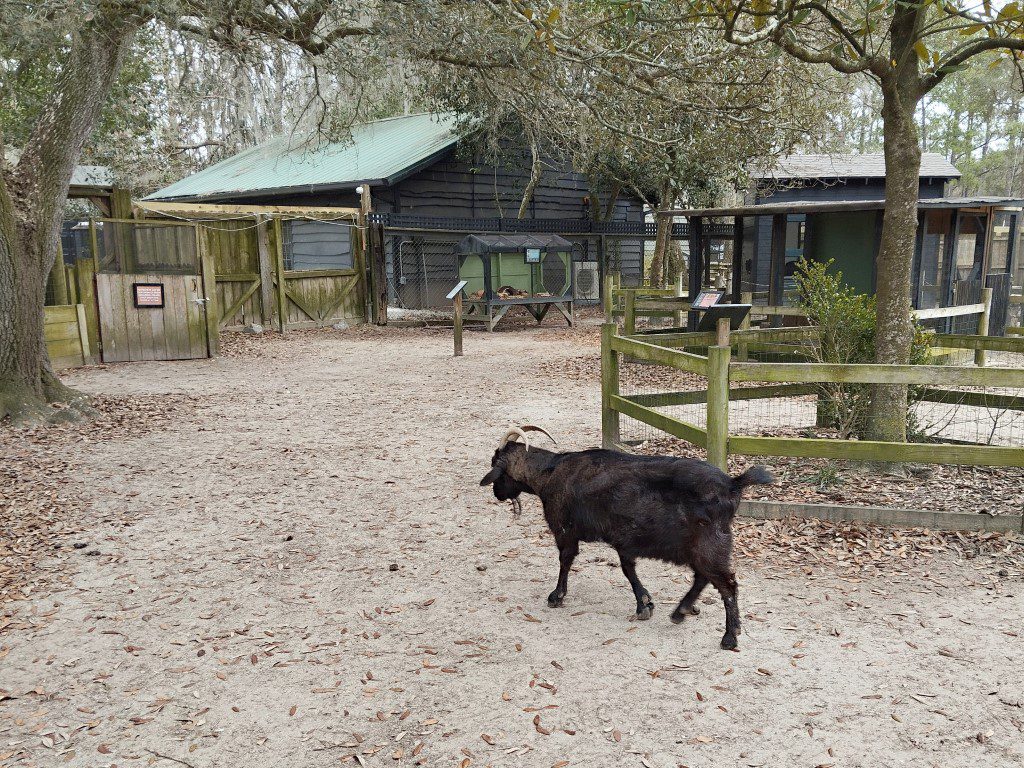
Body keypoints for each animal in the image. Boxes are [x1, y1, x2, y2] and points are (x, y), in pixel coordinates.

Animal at [483, 428, 770, 651]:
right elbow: (628, 569)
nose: (497, 493)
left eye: (496, 465)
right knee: (703, 577)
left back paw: (729, 636)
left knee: (727, 585)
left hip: (709, 545)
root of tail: (733, 484)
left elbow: (566, 561)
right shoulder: (624, 540)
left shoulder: (565, 531)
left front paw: (556, 596)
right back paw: (681, 611)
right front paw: (644, 603)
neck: (550, 473)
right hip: (697, 547)